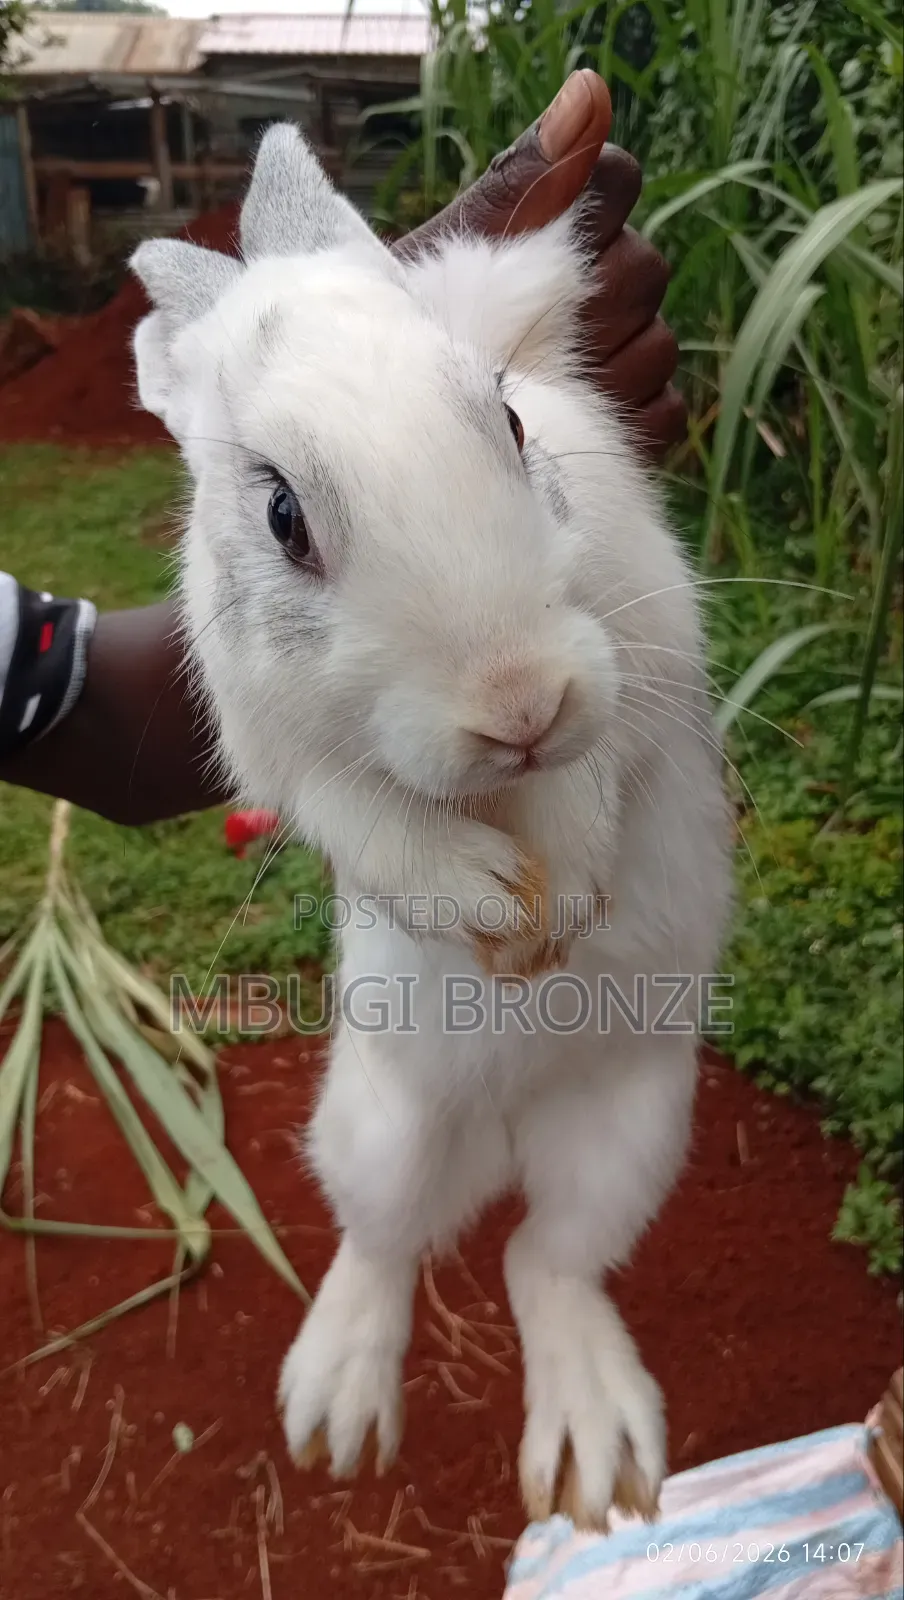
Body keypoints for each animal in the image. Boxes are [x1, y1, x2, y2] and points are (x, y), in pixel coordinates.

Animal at [129, 123, 733, 1533]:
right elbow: (365, 815)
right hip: (378, 1122)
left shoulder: (637, 645)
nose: (517, 702)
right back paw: (337, 1404)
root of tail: (502, 1123)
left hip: (636, 1125)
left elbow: (608, 756)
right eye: (282, 515)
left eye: (508, 423)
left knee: (544, 1260)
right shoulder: (283, 747)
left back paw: (593, 1453)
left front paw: (560, 894)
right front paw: (498, 910)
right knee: (391, 1238)